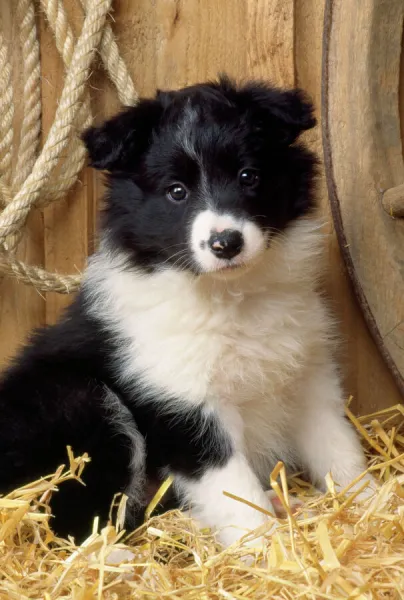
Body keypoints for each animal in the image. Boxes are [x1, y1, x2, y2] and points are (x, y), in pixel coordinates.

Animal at [0, 77, 374, 548]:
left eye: (248, 176)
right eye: (176, 191)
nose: (225, 243)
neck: (231, 296)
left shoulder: (307, 376)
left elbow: (338, 448)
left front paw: (373, 504)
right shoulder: (185, 404)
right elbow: (232, 487)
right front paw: (262, 546)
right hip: (81, 404)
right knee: (72, 520)